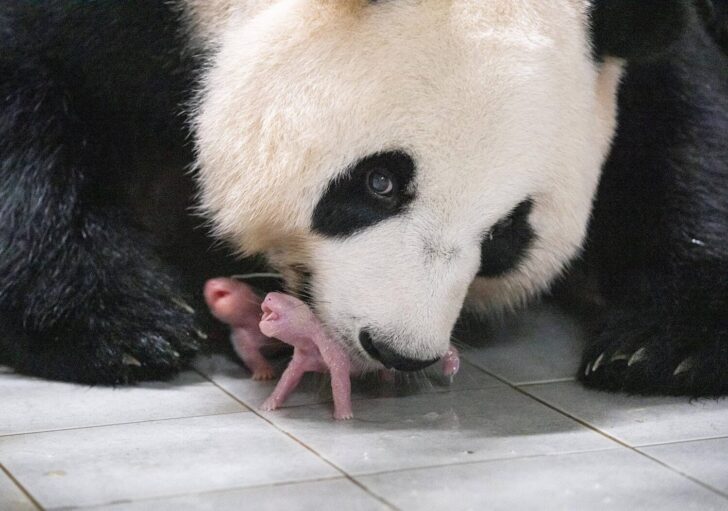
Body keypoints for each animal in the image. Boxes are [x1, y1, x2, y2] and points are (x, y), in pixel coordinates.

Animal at [0, 1, 726, 396]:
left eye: (506, 235)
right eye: (380, 182)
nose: (399, 348)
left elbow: (683, 124)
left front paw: (663, 346)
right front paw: (120, 325)